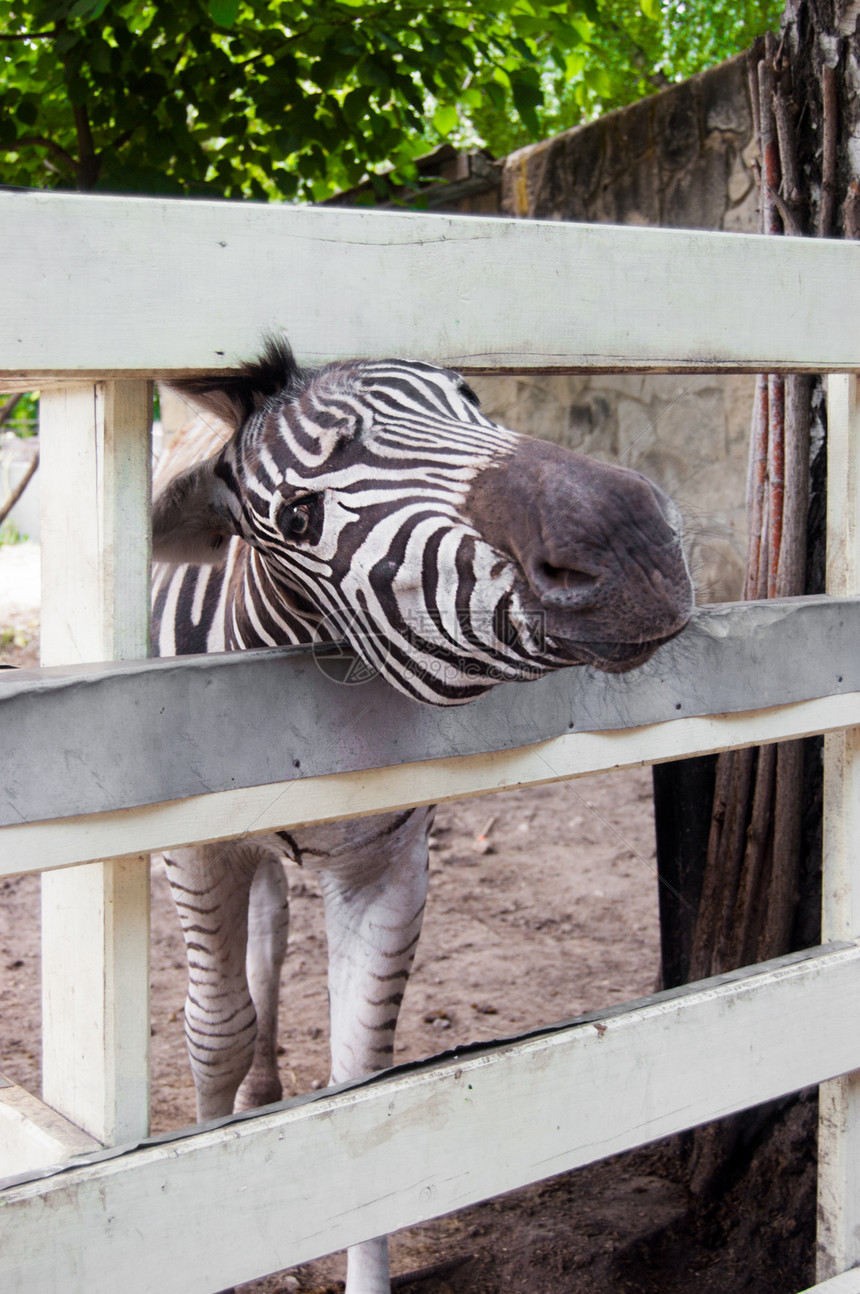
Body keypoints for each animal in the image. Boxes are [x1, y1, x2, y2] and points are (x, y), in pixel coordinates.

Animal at [152, 341, 693, 1294]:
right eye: (297, 516)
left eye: (467, 396)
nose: (630, 542)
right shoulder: (198, 852)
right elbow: (213, 1033)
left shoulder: (389, 858)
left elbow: (364, 1074)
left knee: (272, 929)